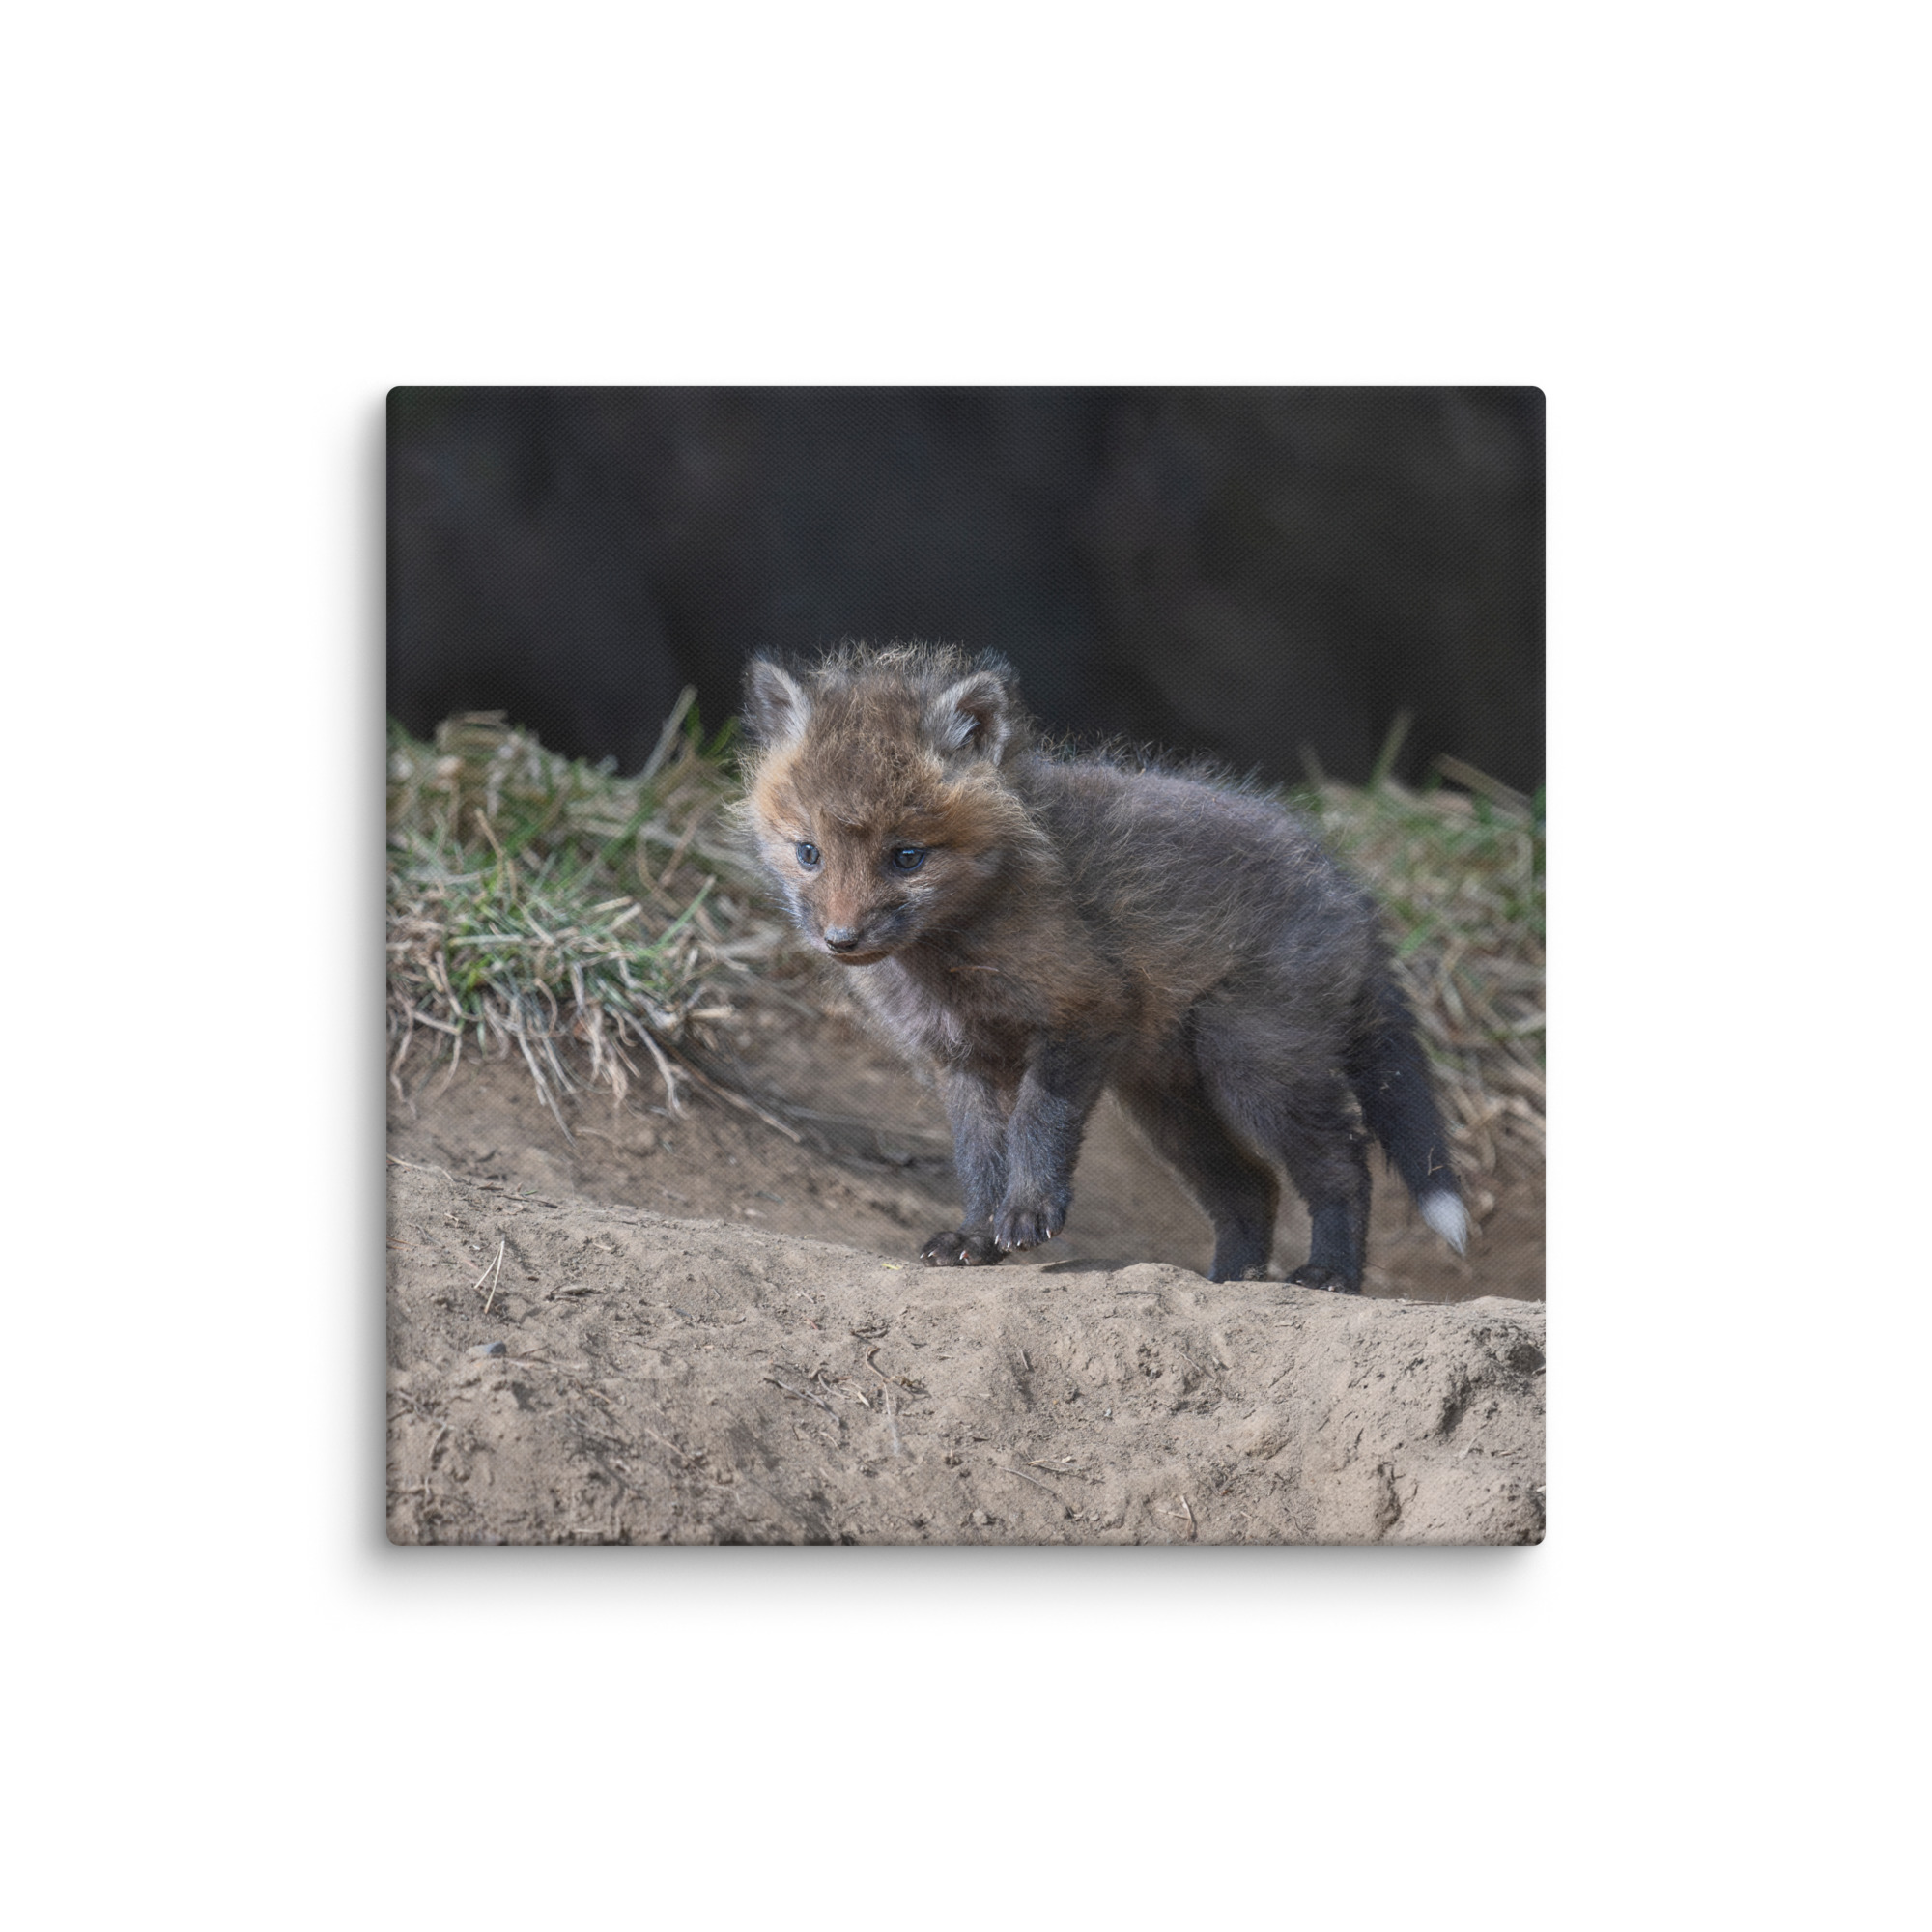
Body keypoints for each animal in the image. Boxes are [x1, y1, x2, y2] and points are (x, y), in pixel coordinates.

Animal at [738, 642, 1468, 1293]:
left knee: (1343, 1163)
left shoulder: (1083, 1010)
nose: (841, 939)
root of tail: (1351, 893)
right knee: (1252, 1188)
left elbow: (1037, 1124)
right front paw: (976, 1236)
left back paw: (1330, 1274)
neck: (951, 961)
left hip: (1255, 1068)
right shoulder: (962, 1058)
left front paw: (1028, 1212)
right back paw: (1230, 1280)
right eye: (808, 853)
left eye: (907, 857)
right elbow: (979, 1159)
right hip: (1168, 1104)